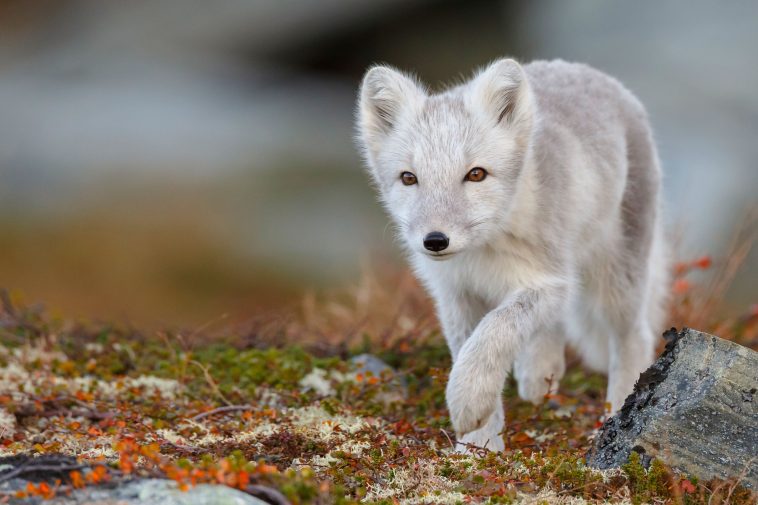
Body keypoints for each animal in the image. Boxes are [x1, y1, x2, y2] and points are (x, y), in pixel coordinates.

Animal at [354, 58, 668, 448]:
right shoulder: (456, 293)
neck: (482, 251)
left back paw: (616, 408)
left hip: (616, 277)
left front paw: (468, 401)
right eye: (409, 178)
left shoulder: (551, 281)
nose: (435, 241)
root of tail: (588, 71)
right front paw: (479, 447)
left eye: (476, 174)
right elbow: (469, 346)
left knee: (635, 337)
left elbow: (494, 330)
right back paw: (540, 377)